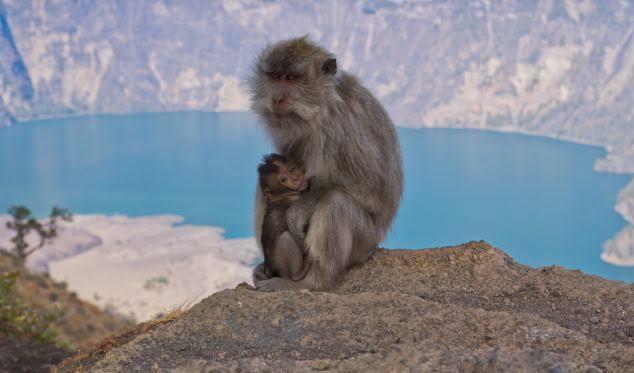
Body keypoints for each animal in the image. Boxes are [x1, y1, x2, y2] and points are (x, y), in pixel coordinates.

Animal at [248, 35, 400, 290]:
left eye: (291, 78)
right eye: (275, 76)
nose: (277, 98)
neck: (322, 108)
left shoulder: (340, 129)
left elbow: (369, 190)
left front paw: (295, 214)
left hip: (364, 241)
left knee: (336, 202)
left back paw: (311, 281)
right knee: (263, 189)